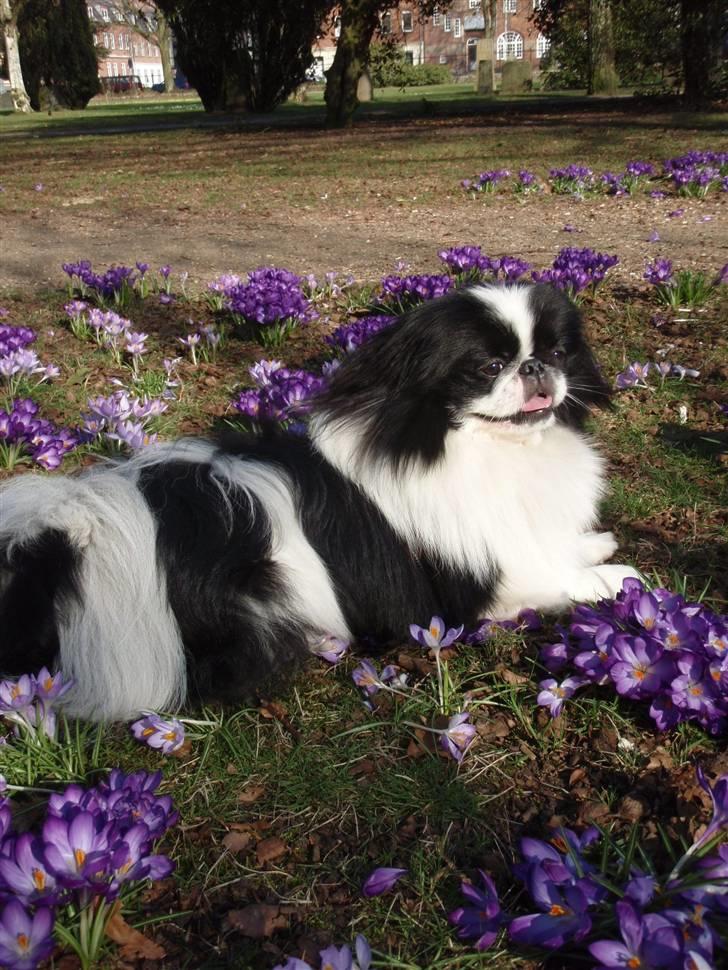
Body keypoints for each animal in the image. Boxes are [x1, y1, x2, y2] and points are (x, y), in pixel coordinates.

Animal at [0, 282, 636, 720]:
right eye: (489, 366)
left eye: (558, 352)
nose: (536, 367)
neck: (493, 453)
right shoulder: (480, 587)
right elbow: (560, 577)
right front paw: (616, 579)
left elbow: (562, 548)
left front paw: (595, 543)